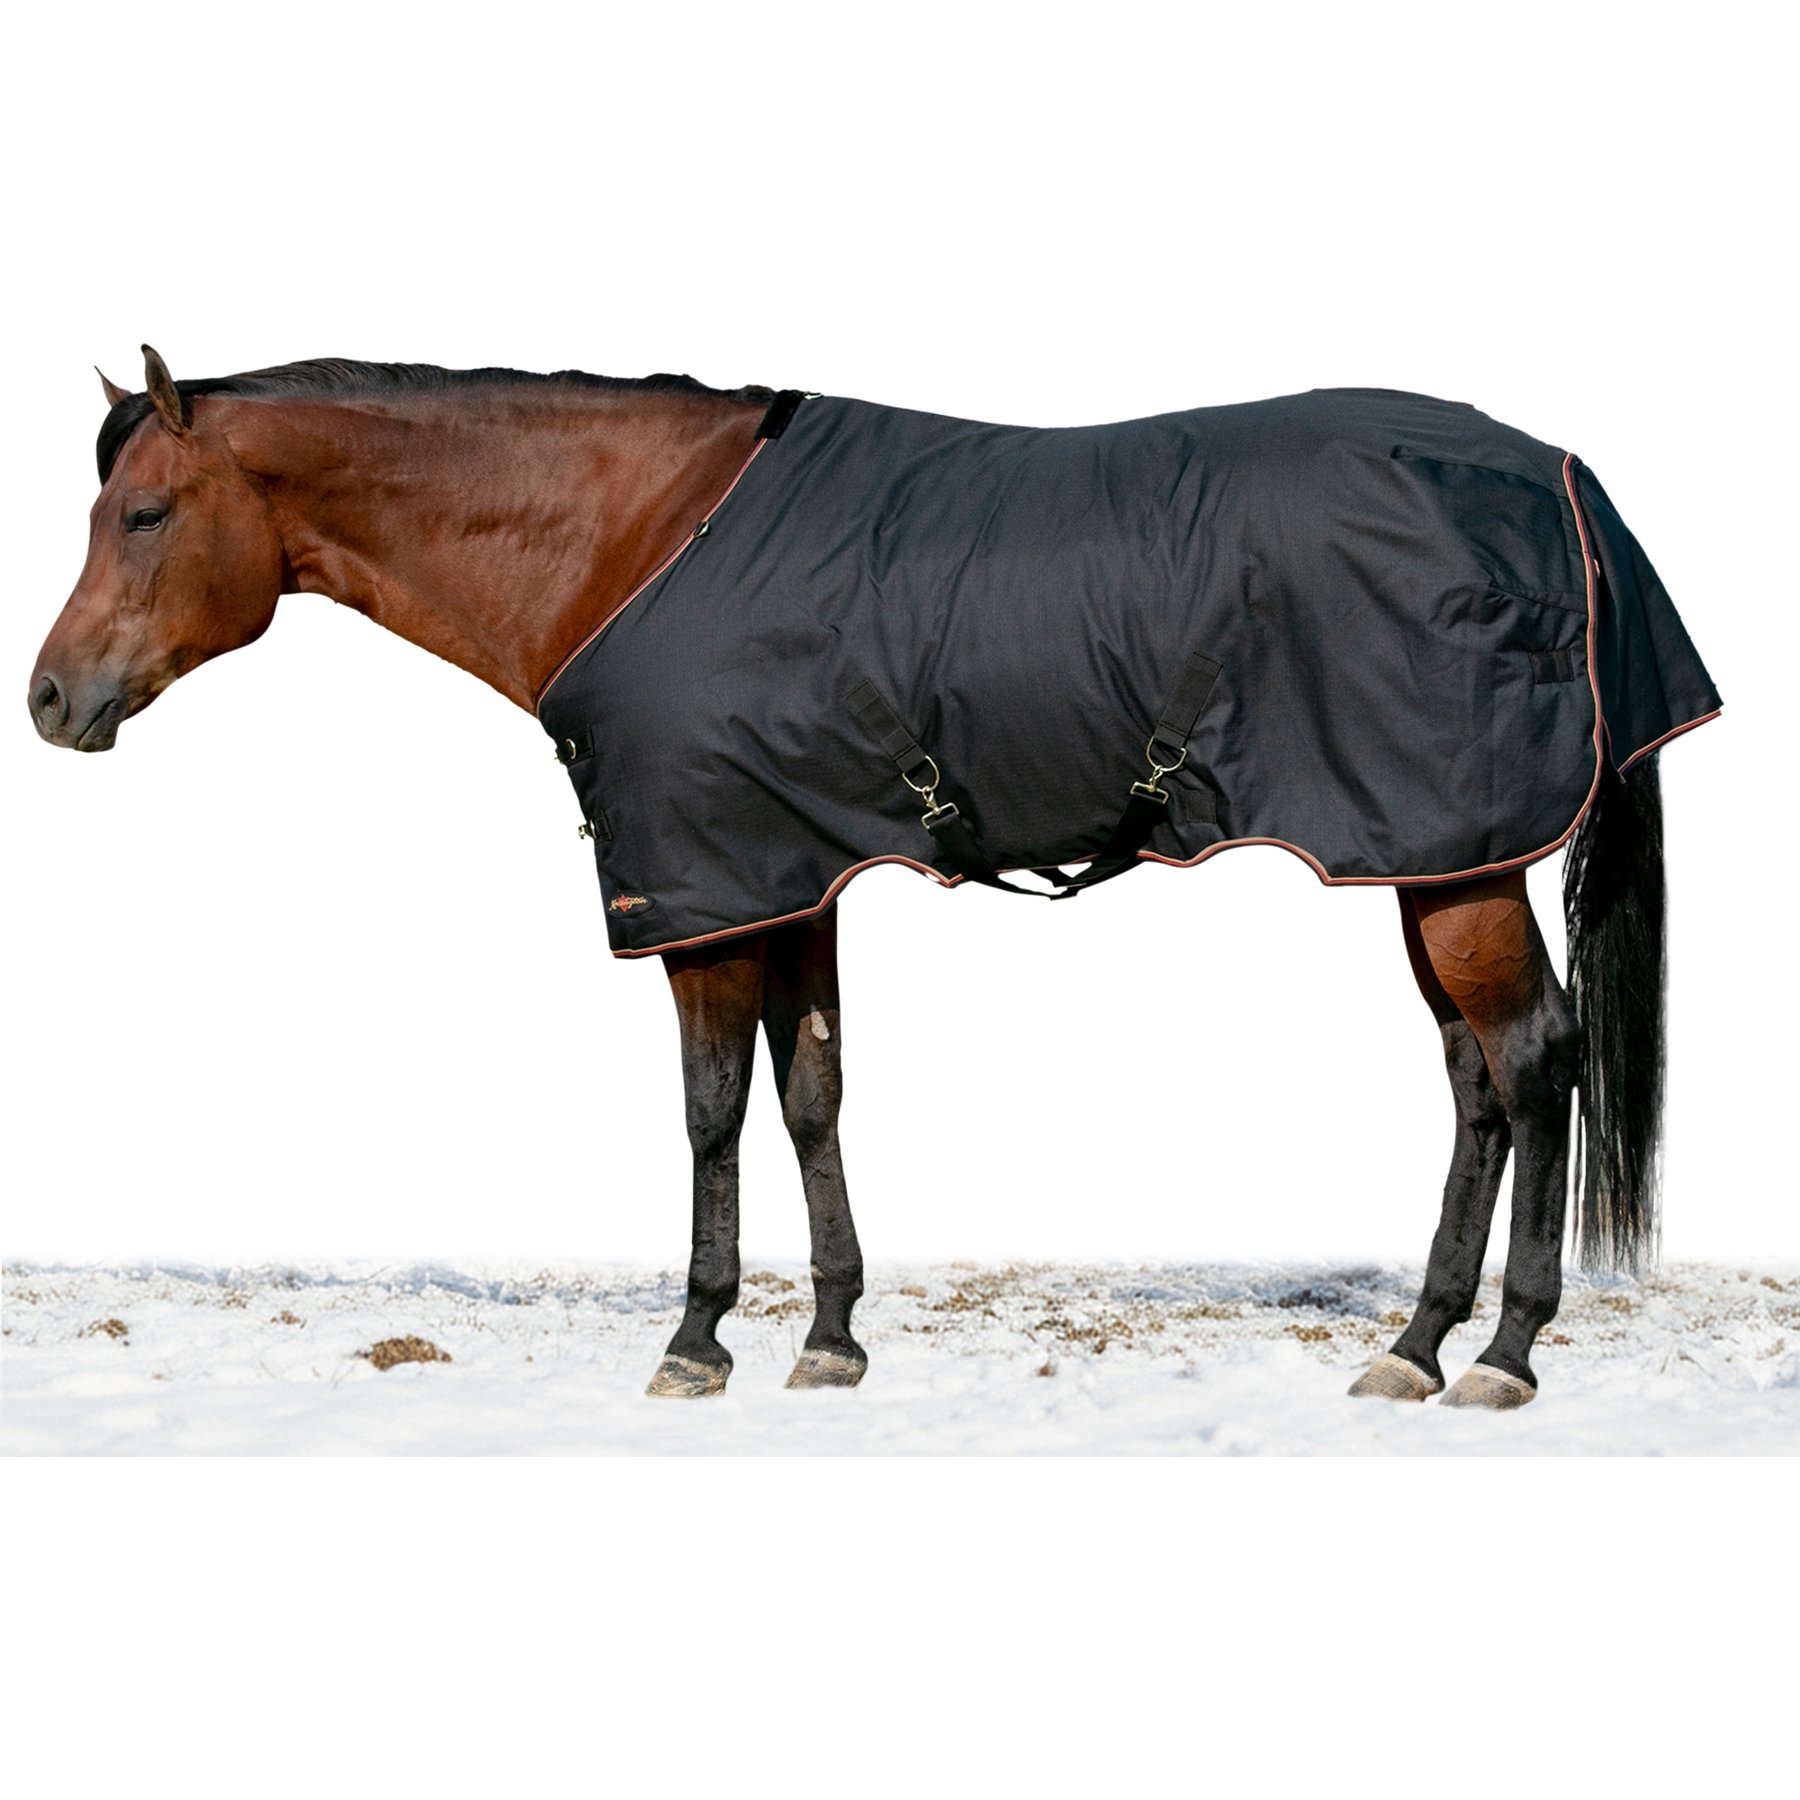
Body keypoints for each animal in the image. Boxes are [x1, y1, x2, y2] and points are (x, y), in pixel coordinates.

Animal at [30, 346, 1721, 1410]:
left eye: (146, 512)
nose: (50, 700)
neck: (635, 537)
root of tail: (1558, 478)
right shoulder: (786, 875)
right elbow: (812, 1097)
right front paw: (832, 1338)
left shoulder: (703, 893)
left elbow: (713, 1110)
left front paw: (698, 1340)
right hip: (1433, 861)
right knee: (1478, 1086)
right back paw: (1416, 1345)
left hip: (1458, 868)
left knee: (1534, 1063)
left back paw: (1502, 1355)